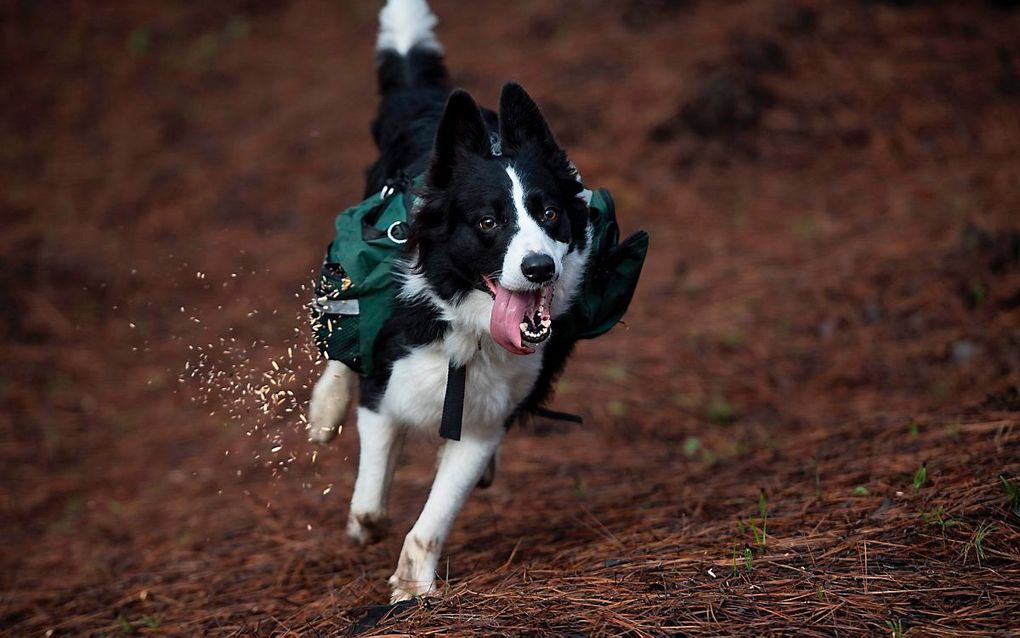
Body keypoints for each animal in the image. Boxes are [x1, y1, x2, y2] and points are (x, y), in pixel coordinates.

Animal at [310, 0, 595, 600]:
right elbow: (370, 499)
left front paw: (411, 587)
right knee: (343, 329)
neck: (468, 326)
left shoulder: (482, 424)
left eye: (550, 213)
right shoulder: (385, 389)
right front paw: (366, 529)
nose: (540, 267)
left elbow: (434, 514)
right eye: (487, 222)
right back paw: (324, 409)